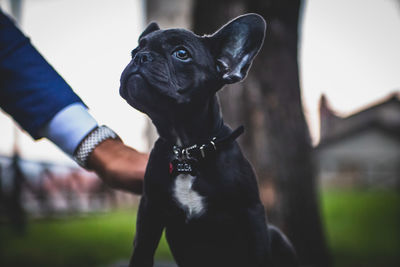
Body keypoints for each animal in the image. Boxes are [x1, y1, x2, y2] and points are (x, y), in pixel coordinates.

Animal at [119, 13, 296, 267]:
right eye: (133, 51)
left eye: (181, 53)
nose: (141, 57)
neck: (187, 150)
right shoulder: (149, 212)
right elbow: (141, 253)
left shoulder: (251, 212)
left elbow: (259, 254)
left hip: (277, 236)